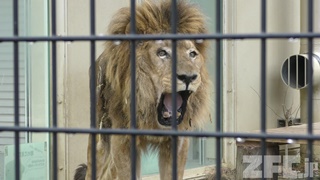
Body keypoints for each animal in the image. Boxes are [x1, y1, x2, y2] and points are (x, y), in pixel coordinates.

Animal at [74, 0, 211, 179]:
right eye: (162, 53)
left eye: (192, 54)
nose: (189, 77)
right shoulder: (122, 140)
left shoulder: (179, 142)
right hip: (100, 140)